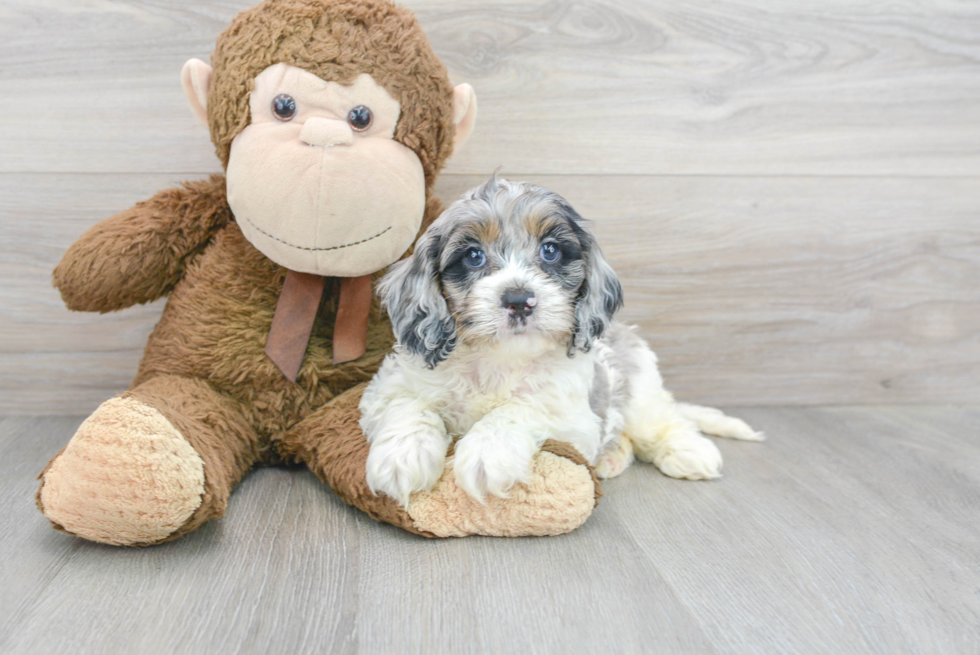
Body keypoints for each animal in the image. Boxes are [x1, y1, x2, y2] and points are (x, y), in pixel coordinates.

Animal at [362, 176, 764, 508]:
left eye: (551, 251)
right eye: (473, 255)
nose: (519, 299)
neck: (499, 359)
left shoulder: (572, 418)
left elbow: (521, 409)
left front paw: (487, 452)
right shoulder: (387, 387)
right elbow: (410, 406)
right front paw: (402, 457)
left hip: (640, 393)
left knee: (663, 422)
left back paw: (689, 451)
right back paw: (613, 458)